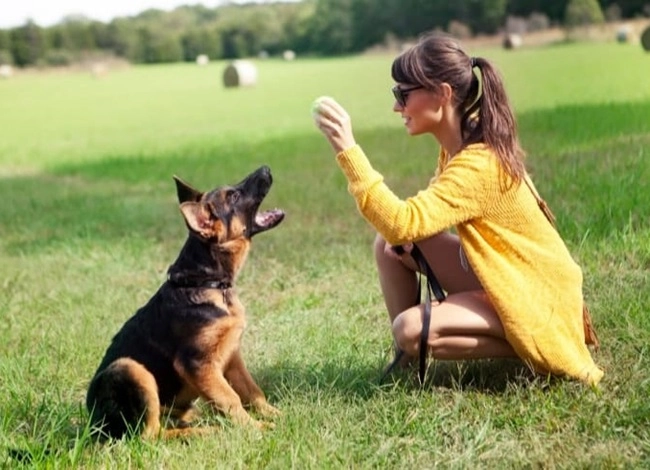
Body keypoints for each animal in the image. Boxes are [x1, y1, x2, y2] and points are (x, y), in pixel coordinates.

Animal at [85, 166, 282, 440]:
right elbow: (231, 398)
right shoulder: (198, 364)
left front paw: (275, 415)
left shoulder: (232, 356)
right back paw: (205, 431)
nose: (266, 168)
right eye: (233, 196)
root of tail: (94, 424)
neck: (206, 282)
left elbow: (252, 392)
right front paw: (255, 428)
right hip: (130, 370)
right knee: (151, 436)